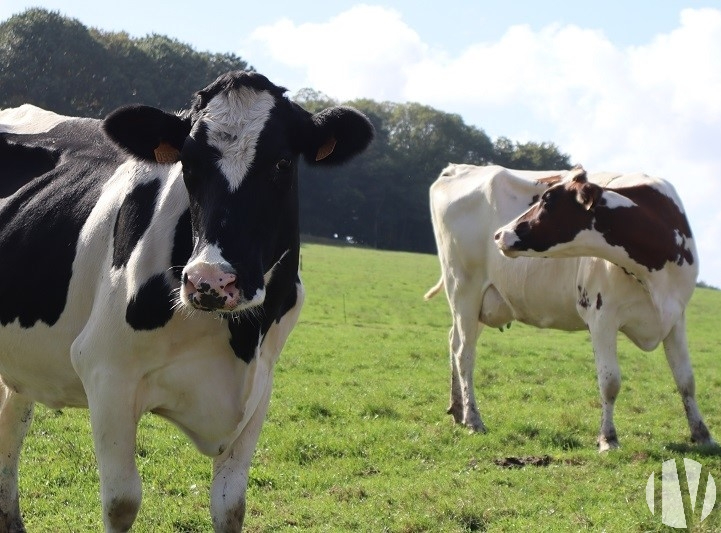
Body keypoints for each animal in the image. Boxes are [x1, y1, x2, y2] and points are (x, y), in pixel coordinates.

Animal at [0, 71, 372, 532]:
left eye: (283, 163)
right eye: (188, 165)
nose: (211, 280)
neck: (239, 338)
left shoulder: (261, 385)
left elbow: (230, 506)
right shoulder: (106, 371)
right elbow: (122, 502)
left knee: (11, 427)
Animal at [424, 162, 712, 448]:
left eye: (548, 200)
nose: (499, 234)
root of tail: (459, 168)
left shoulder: (676, 316)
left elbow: (686, 379)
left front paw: (702, 434)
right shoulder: (601, 316)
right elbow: (610, 381)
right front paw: (608, 438)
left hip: (482, 302)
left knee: (454, 342)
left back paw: (459, 412)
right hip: (464, 289)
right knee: (465, 354)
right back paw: (473, 419)